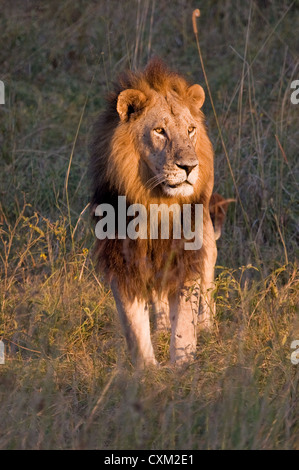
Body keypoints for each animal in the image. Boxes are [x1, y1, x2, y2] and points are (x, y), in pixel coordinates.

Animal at [90, 58, 231, 368]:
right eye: (159, 131)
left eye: (190, 130)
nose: (189, 166)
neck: (156, 202)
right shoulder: (123, 259)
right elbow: (134, 324)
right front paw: (147, 370)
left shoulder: (185, 255)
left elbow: (186, 319)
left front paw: (182, 364)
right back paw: (163, 326)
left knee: (208, 275)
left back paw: (207, 326)